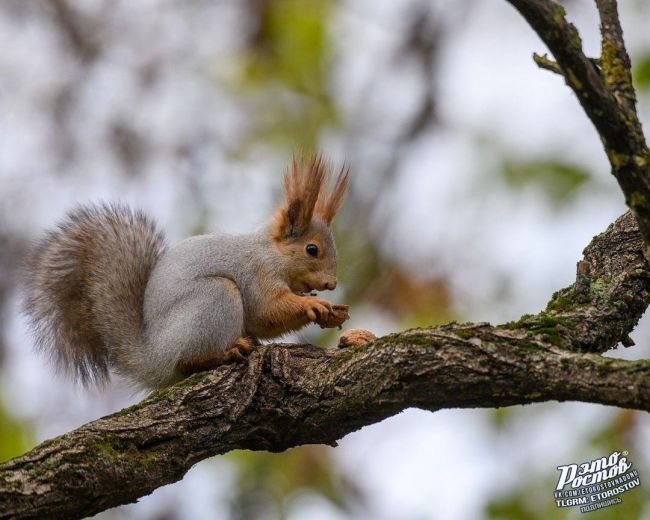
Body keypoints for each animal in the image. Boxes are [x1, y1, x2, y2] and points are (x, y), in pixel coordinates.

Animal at [22, 154, 372, 390]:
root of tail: (152, 356)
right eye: (312, 249)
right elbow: (266, 312)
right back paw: (226, 352)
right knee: (186, 361)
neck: (270, 253)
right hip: (214, 298)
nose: (331, 283)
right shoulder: (255, 273)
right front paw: (314, 305)